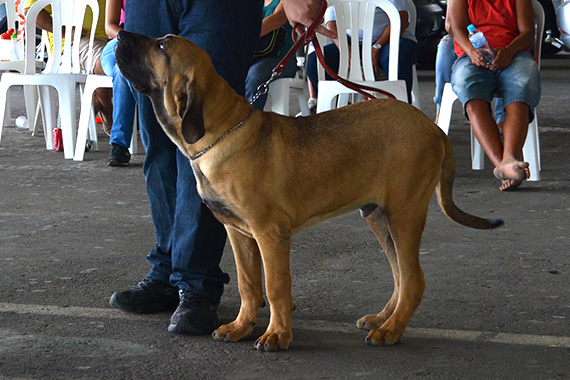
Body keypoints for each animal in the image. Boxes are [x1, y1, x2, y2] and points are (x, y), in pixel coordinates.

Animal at [114, 31, 502, 352]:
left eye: (162, 46)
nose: (119, 34)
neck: (220, 132)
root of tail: (433, 128)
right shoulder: (239, 234)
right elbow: (248, 284)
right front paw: (241, 327)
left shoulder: (271, 234)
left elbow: (275, 286)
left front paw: (276, 335)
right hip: (379, 217)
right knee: (400, 277)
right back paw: (382, 319)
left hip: (404, 214)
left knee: (414, 279)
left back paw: (391, 330)